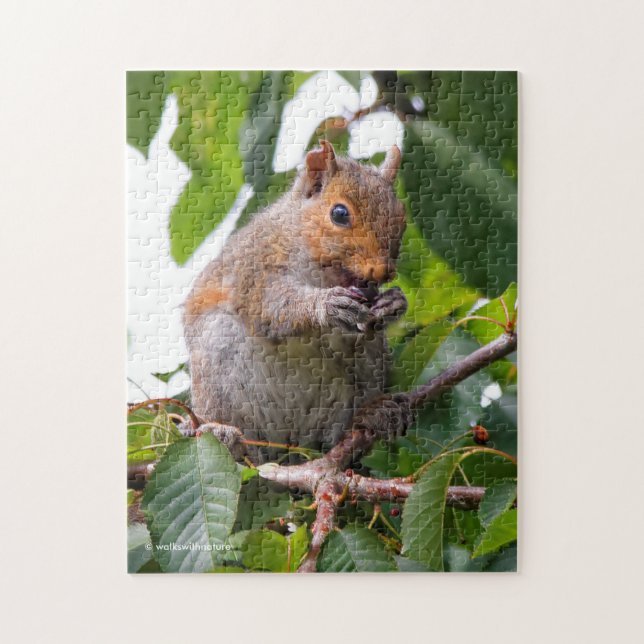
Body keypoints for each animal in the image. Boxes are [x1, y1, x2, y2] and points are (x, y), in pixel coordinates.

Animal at [183, 140, 412, 462]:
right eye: (339, 213)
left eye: (402, 219)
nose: (382, 272)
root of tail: (290, 447)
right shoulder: (256, 269)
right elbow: (272, 306)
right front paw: (326, 305)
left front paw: (394, 303)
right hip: (218, 352)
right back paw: (224, 435)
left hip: (366, 366)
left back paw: (373, 413)